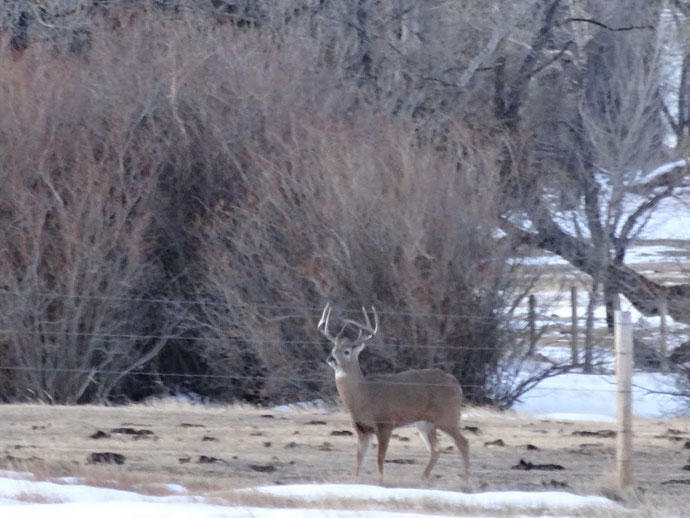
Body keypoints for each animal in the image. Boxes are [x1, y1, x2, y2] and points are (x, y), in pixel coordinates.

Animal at [318, 302, 468, 486]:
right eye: (334, 348)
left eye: (346, 351)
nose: (331, 359)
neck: (364, 395)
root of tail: (456, 384)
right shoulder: (361, 429)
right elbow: (358, 459)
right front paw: (354, 482)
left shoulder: (386, 424)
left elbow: (380, 458)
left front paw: (380, 483)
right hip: (426, 424)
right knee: (436, 449)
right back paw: (422, 479)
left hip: (447, 416)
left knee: (463, 443)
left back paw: (466, 480)